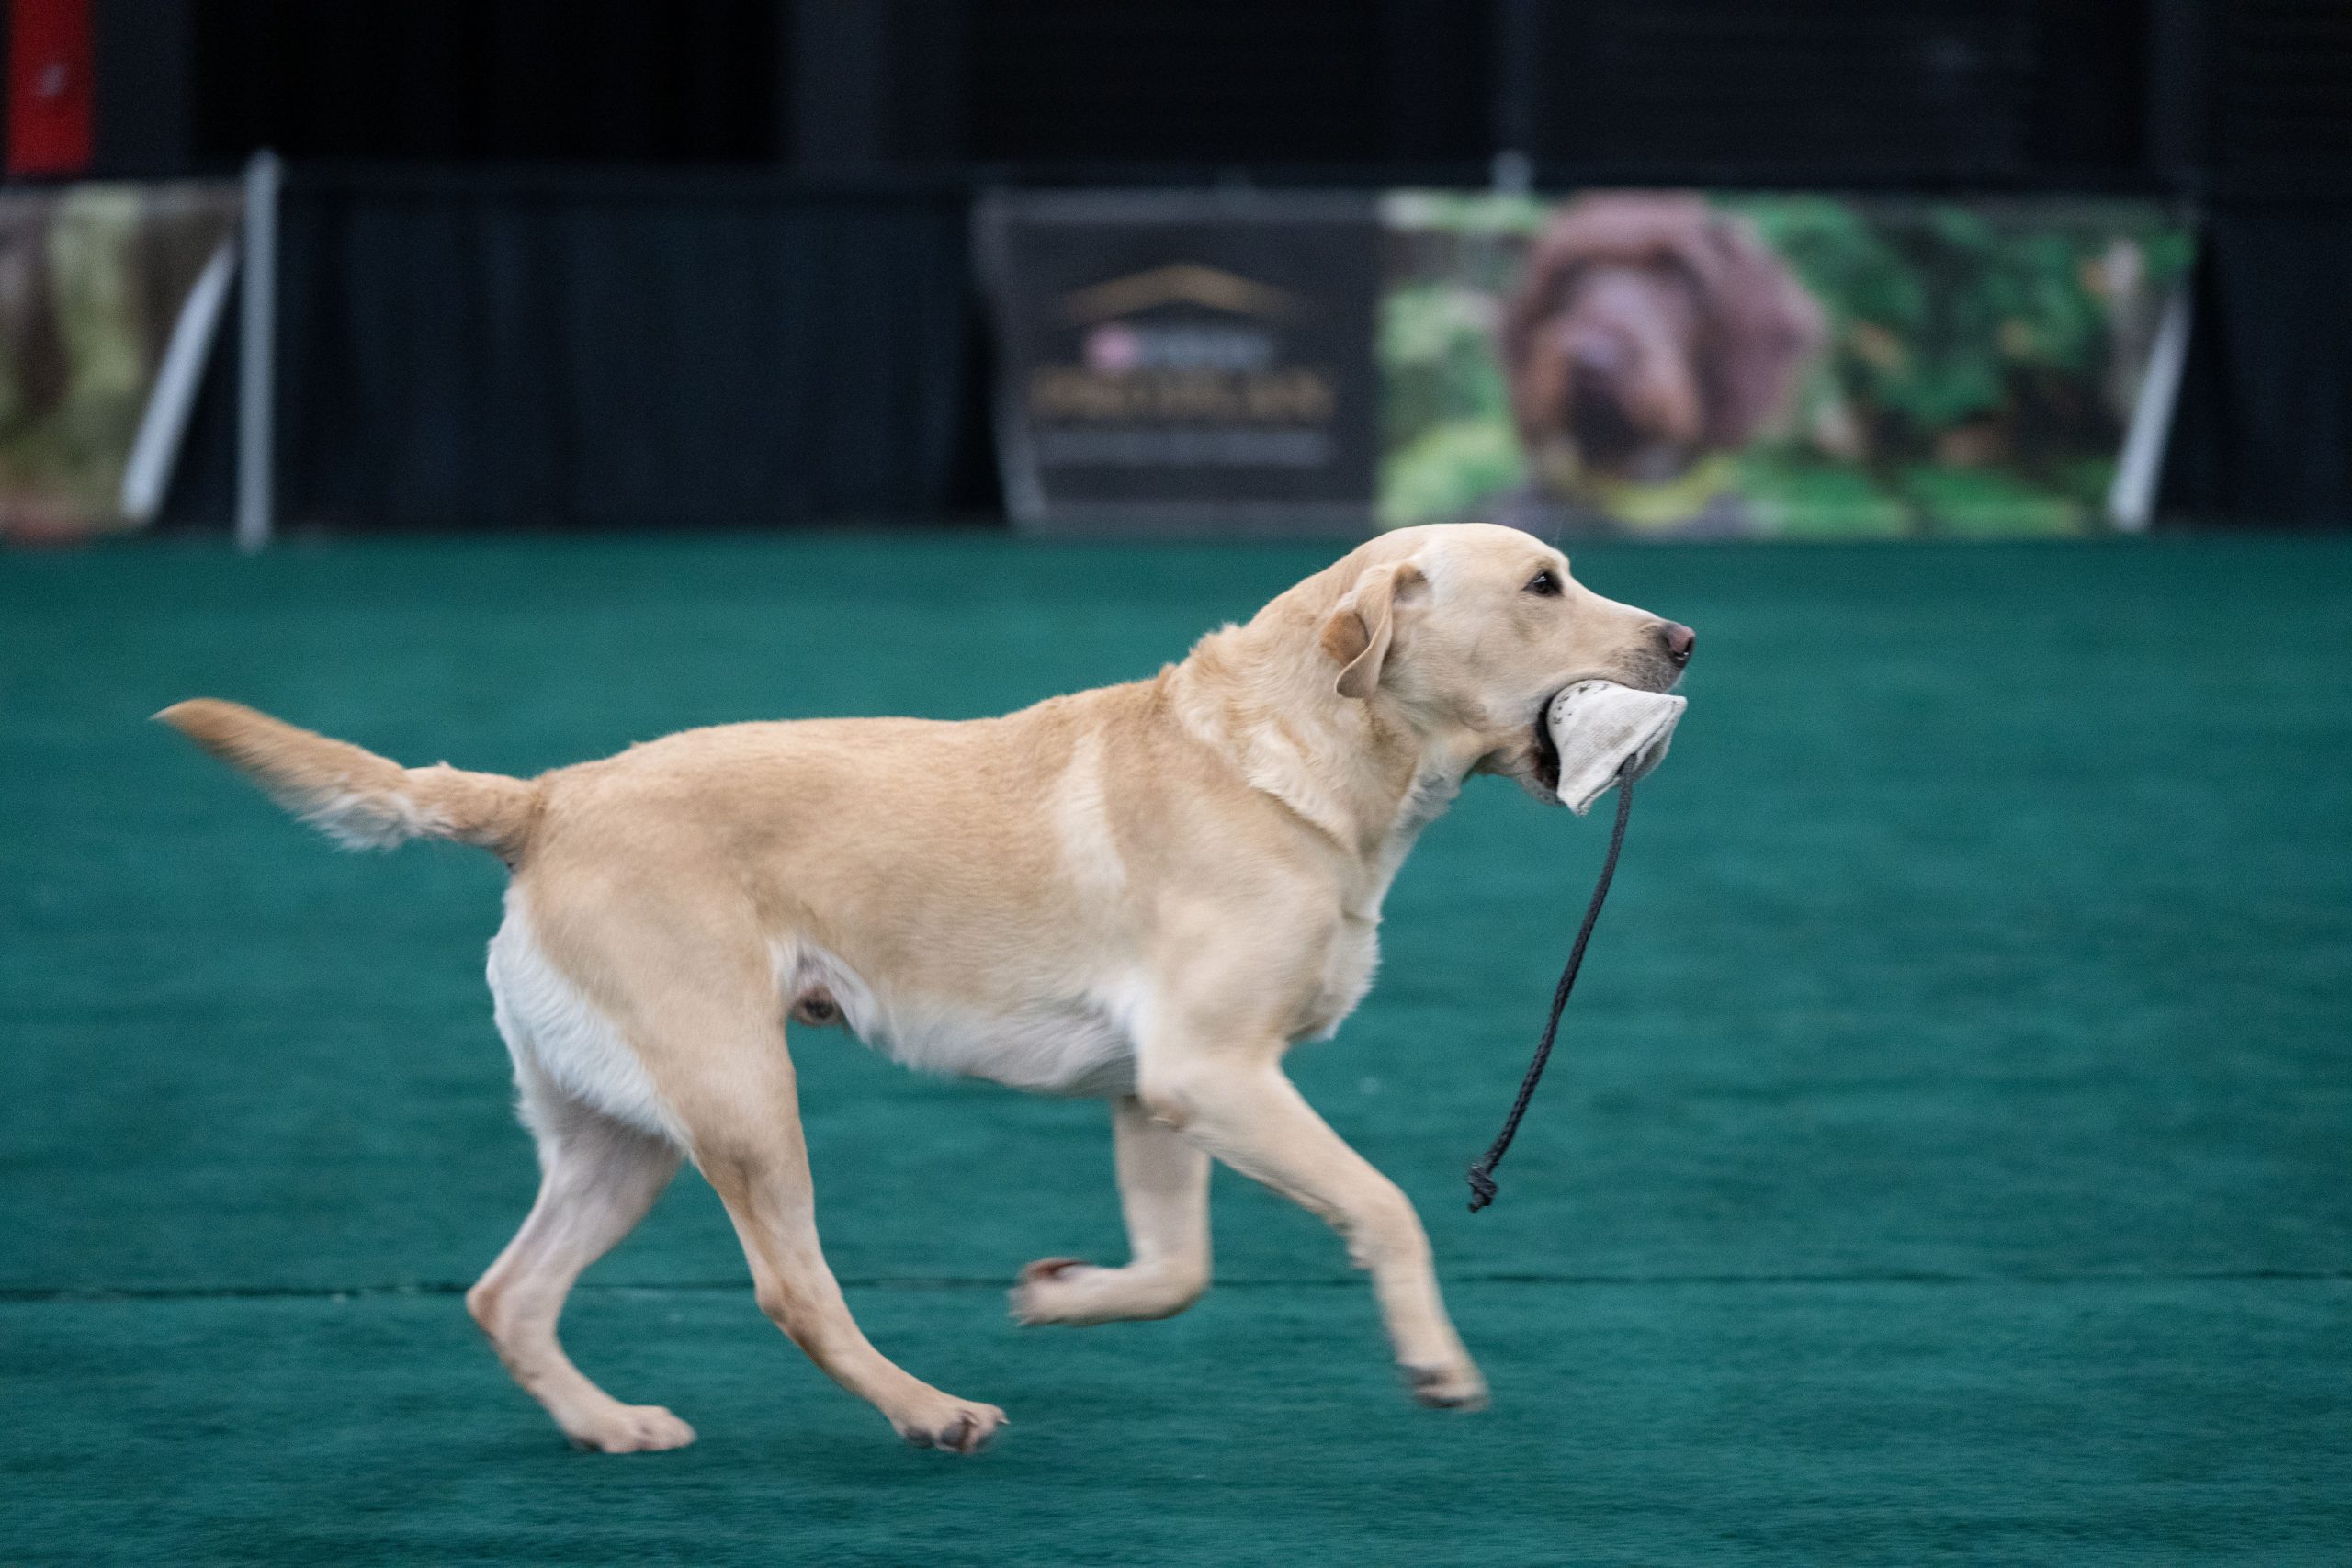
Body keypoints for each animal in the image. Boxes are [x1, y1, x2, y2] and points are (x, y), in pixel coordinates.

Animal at [165, 524, 1702, 1457]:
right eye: (1546, 584)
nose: (1685, 638)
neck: (1302, 755)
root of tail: (545, 797)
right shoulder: (1212, 1068)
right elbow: (1385, 1208)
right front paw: (1437, 1362)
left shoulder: (1162, 1093)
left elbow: (1178, 1269)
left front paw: (1061, 1295)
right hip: (741, 1095)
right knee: (793, 1288)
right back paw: (931, 1409)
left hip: (621, 1135)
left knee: (506, 1293)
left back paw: (612, 1424)